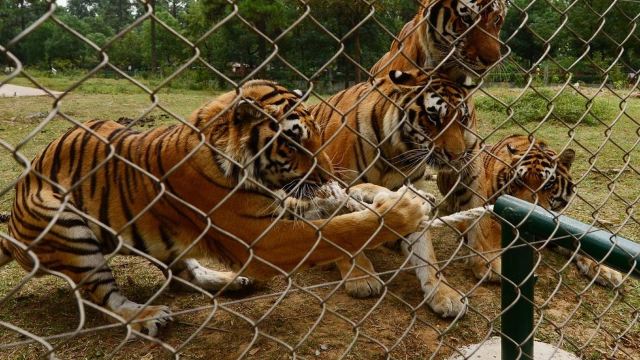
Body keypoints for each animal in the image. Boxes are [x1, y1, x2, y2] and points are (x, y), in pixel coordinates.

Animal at [1, 79, 430, 338]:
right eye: (294, 143)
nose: (325, 173)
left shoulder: (279, 207)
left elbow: (338, 204)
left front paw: (377, 194)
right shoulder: (262, 237)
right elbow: (343, 230)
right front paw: (404, 209)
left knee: (182, 273)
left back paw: (229, 281)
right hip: (65, 225)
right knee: (102, 296)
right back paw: (145, 316)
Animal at [310, 68, 496, 318]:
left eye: (463, 119)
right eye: (433, 118)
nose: (458, 155)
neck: (397, 152)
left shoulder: (410, 198)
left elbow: (425, 251)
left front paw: (443, 293)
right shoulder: (335, 188)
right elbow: (342, 237)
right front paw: (361, 277)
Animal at [478, 134, 624, 286]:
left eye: (548, 184)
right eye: (519, 181)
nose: (526, 214)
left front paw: (605, 270)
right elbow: (490, 230)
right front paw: (492, 265)